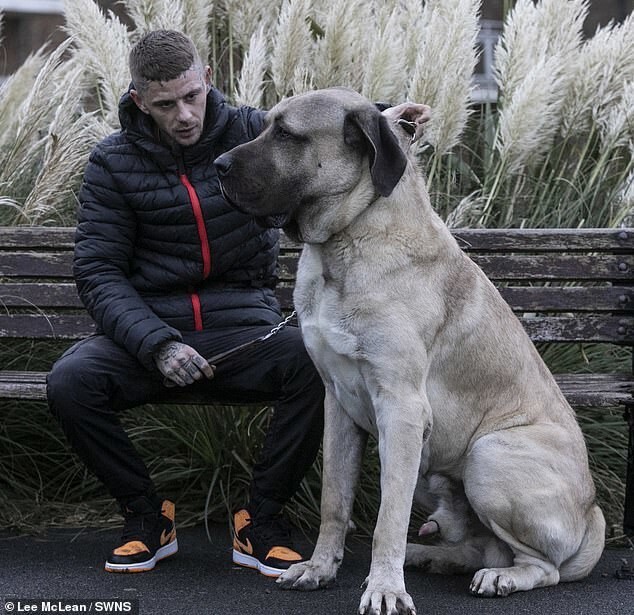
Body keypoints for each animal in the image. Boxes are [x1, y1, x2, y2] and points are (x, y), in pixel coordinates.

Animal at [215, 88, 604, 615]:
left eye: (287, 134)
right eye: (264, 125)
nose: (217, 165)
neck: (346, 243)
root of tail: (594, 513)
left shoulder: (401, 410)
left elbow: (388, 519)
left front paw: (384, 588)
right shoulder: (337, 405)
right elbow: (334, 501)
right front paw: (319, 569)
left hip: (487, 455)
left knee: (543, 566)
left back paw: (499, 577)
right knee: (481, 544)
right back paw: (433, 556)